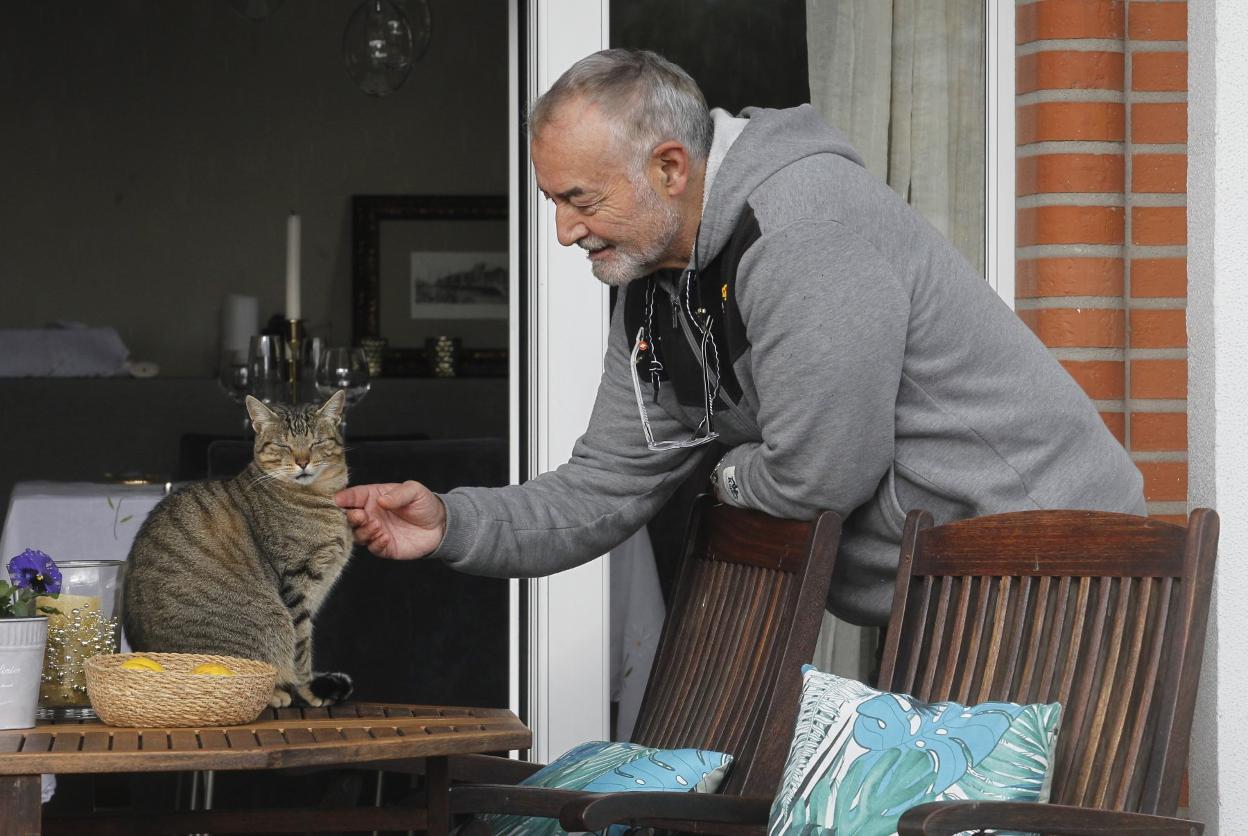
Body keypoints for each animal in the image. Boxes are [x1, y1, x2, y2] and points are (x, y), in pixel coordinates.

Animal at [122, 394, 354, 708]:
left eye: (316, 442)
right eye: (283, 445)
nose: (303, 461)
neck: (321, 496)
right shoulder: (297, 580)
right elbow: (302, 647)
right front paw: (308, 688)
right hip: (267, 622)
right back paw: (276, 693)